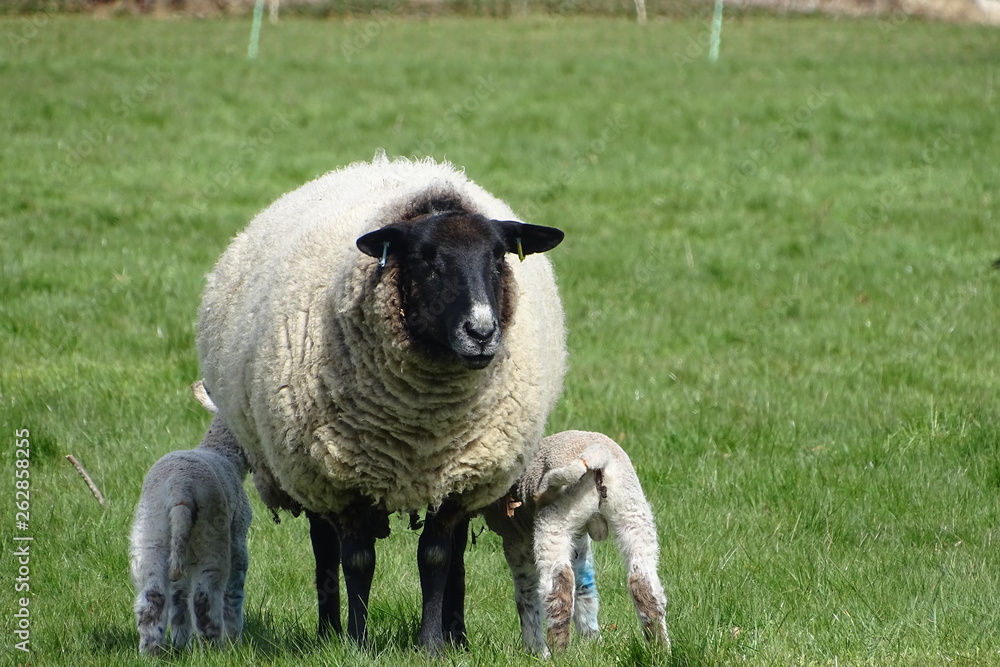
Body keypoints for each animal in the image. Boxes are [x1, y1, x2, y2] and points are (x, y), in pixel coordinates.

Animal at [129, 409, 252, 654]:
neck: (222, 453)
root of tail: (180, 489)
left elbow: (178, 597)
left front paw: (180, 644)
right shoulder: (238, 537)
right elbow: (234, 592)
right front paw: (235, 641)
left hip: (152, 533)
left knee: (154, 598)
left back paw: (150, 653)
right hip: (212, 537)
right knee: (204, 599)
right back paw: (214, 650)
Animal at [196, 153, 566, 653]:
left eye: (498, 258)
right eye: (427, 261)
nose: (482, 332)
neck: (422, 423)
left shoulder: (457, 477)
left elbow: (436, 557)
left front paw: (432, 644)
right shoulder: (342, 478)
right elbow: (357, 560)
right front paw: (357, 641)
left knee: (454, 555)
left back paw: (458, 637)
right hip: (307, 468)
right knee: (324, 547)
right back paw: (329, 630)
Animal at [482, 430, 670, 658]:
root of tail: (598, 454)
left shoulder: (516, 542)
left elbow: (525, 597)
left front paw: (534, 650)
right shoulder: (579, 539)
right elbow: (584, 587)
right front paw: (592, 642)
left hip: (556, 518)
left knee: (558, 588)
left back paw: (557, 654)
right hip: (632, 511)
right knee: (643, 582)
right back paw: (660, 650)